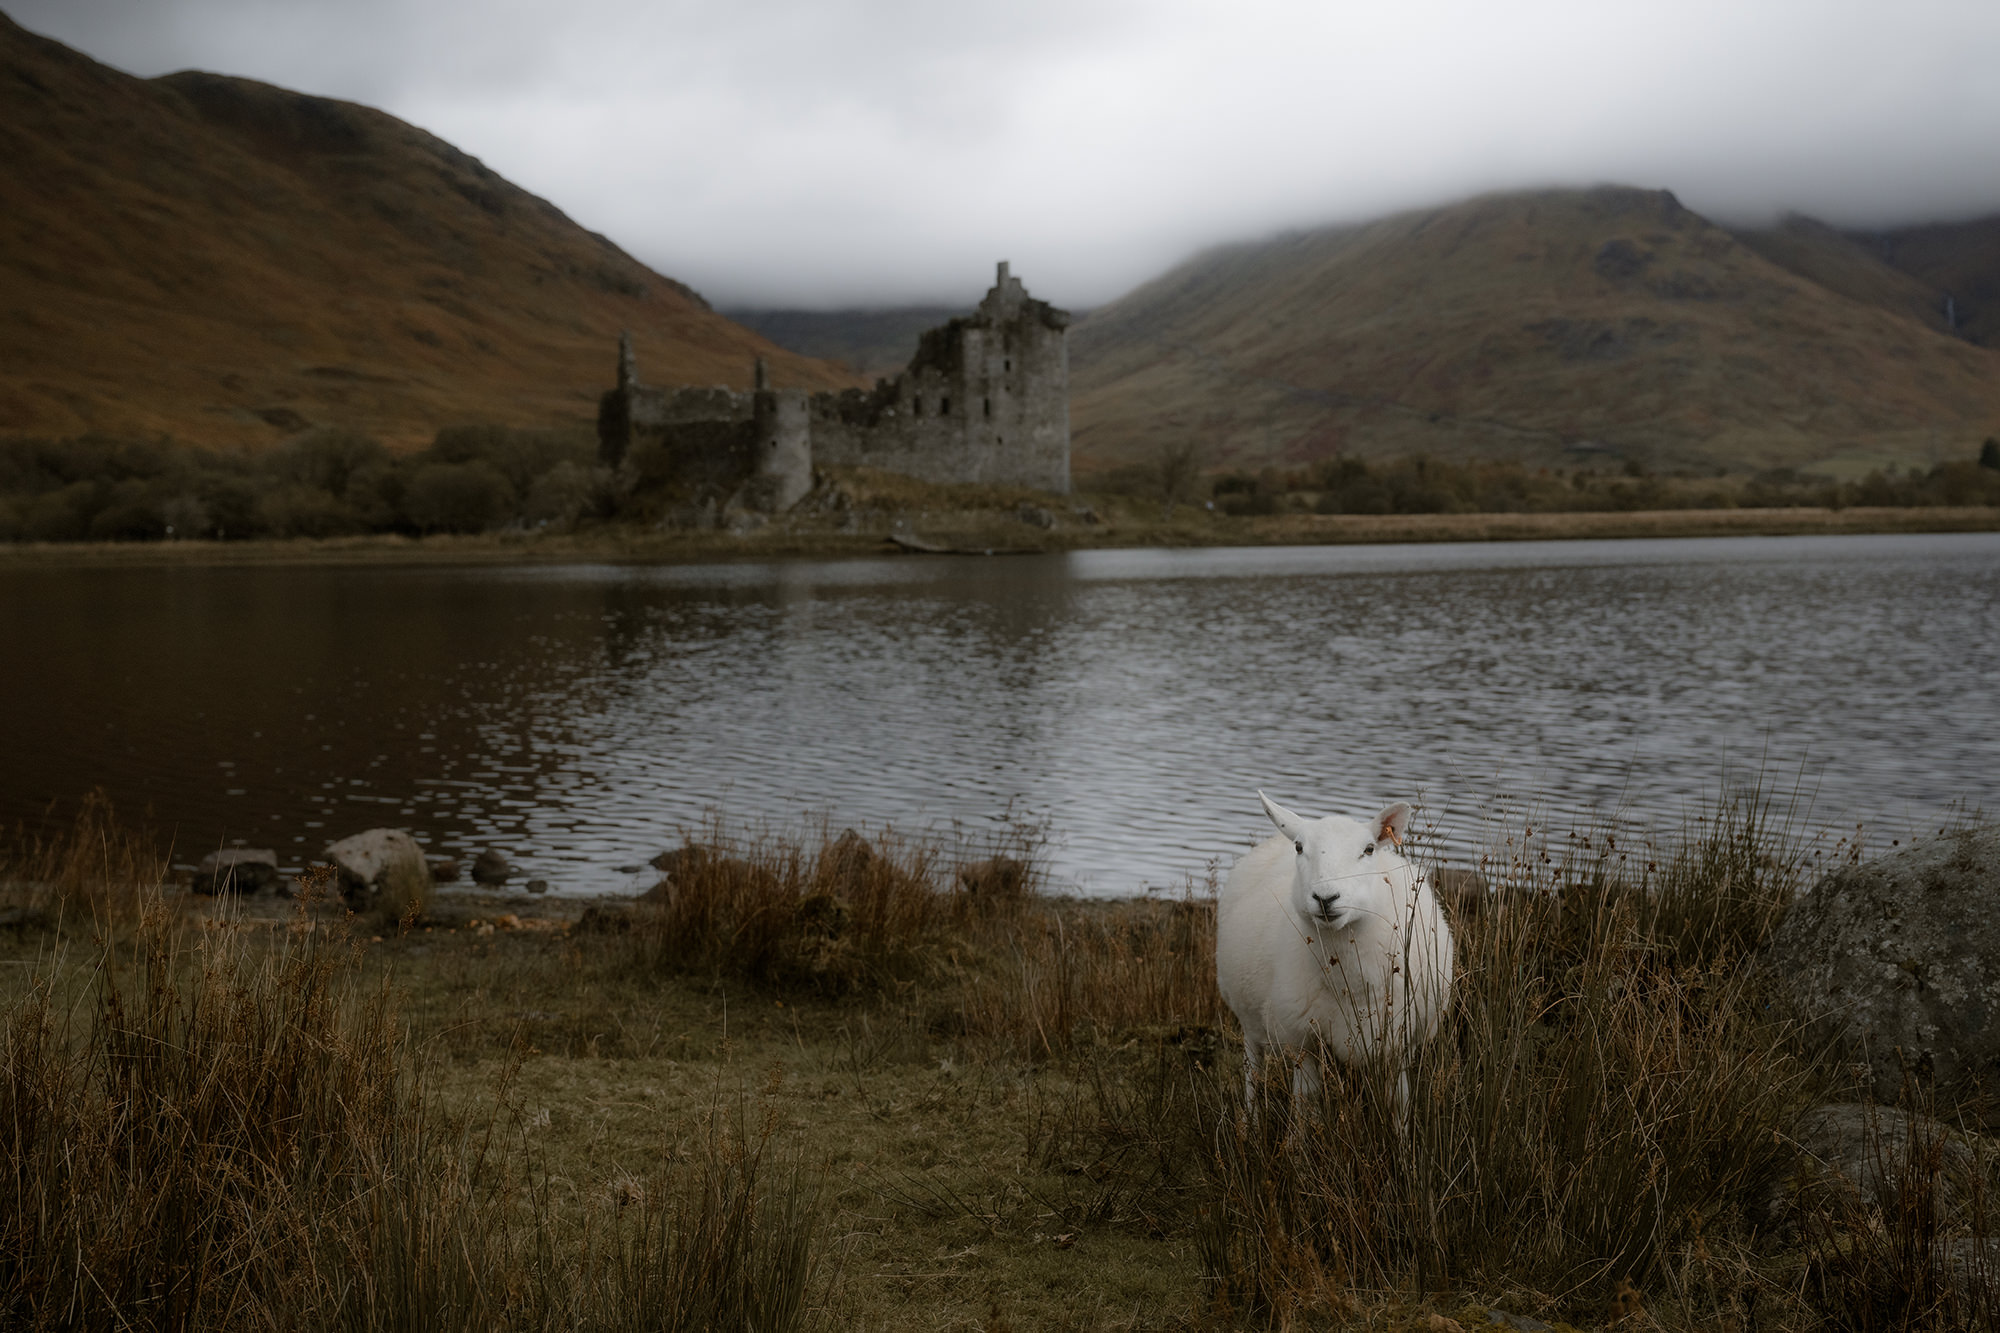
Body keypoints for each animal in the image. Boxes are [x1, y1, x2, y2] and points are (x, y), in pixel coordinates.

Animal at [1216, 792, 1456, 1104]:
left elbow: (1399, 1101)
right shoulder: (1303, 1040)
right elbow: (1306, 1103)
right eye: (1299, 847)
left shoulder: (1399, 1042)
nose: (1325, 898)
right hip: (1248, 1019)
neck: (1352, 984)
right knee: (1252, 1074)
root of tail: (1273, 839)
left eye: (1369, 849)